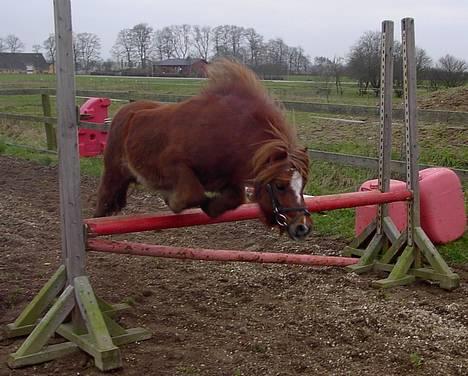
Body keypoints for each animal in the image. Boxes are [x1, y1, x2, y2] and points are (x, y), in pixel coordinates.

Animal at [95, 58, 312, 241]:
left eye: (302, 186)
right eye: (280, 186)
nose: (302, 227)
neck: (227, 134)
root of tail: (124, 112)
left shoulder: (229, 181)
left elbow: (235, 199)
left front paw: (209, 206)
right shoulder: (174, 166)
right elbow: (192, 195)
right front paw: (176, 201)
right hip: (114, 175)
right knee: (101, 206)